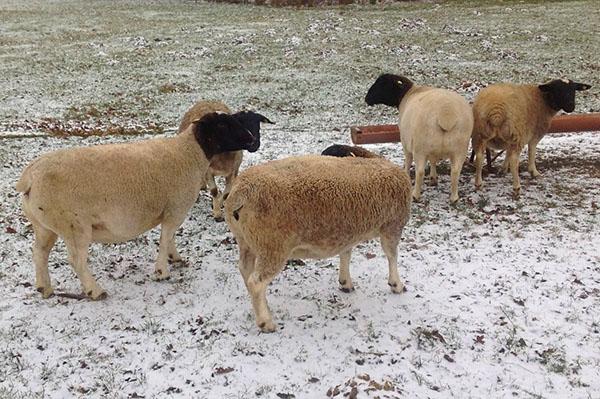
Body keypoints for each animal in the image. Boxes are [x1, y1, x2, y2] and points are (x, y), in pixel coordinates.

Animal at [15, 107, 255, 300]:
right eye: (223, 124)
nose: (252, 139)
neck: (190, 152)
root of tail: (29, 178)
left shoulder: (171, 211)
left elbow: (170, 237)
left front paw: (175, 258)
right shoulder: (175, 208)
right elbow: (165, 238)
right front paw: (162, 272)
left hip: (44, 225)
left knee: (39, 253)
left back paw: (44, 288)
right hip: (74, 226)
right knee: (76, 260)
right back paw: (95, 291)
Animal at [223, 148, 410, 332]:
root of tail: (240, 193)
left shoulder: (347, 232)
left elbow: (346, 254)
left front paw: (345, 283)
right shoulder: (393, 225)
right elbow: (392, 255)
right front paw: (397, 285)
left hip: (247, 241)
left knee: (245, 270)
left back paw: (264, 308)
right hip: (272, 245)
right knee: (256, 282)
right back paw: (266, 322)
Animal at [366, 72, 474, 203]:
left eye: (382, 83)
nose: (367, 99)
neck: (408, 93)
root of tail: (446, 113)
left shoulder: (405, 143)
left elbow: (408, 161)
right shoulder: (432, 150)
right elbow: (433, 160)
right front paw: (433, 178)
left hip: (420, 147)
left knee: (420, 171)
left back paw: (415, 195)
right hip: (460, 149)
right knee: (455, 171)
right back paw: (454, 197)